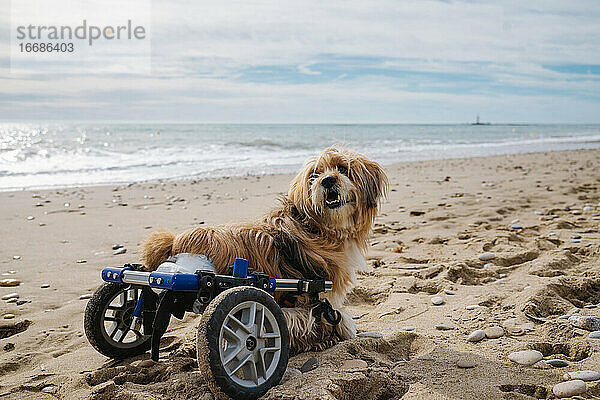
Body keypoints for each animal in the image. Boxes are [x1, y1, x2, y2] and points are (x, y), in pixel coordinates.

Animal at [140, 148, 386, 354]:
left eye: (343, 168)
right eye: (314, 176)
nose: (327, 181)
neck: (315, 227)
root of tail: (176, 242)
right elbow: (314, 318)